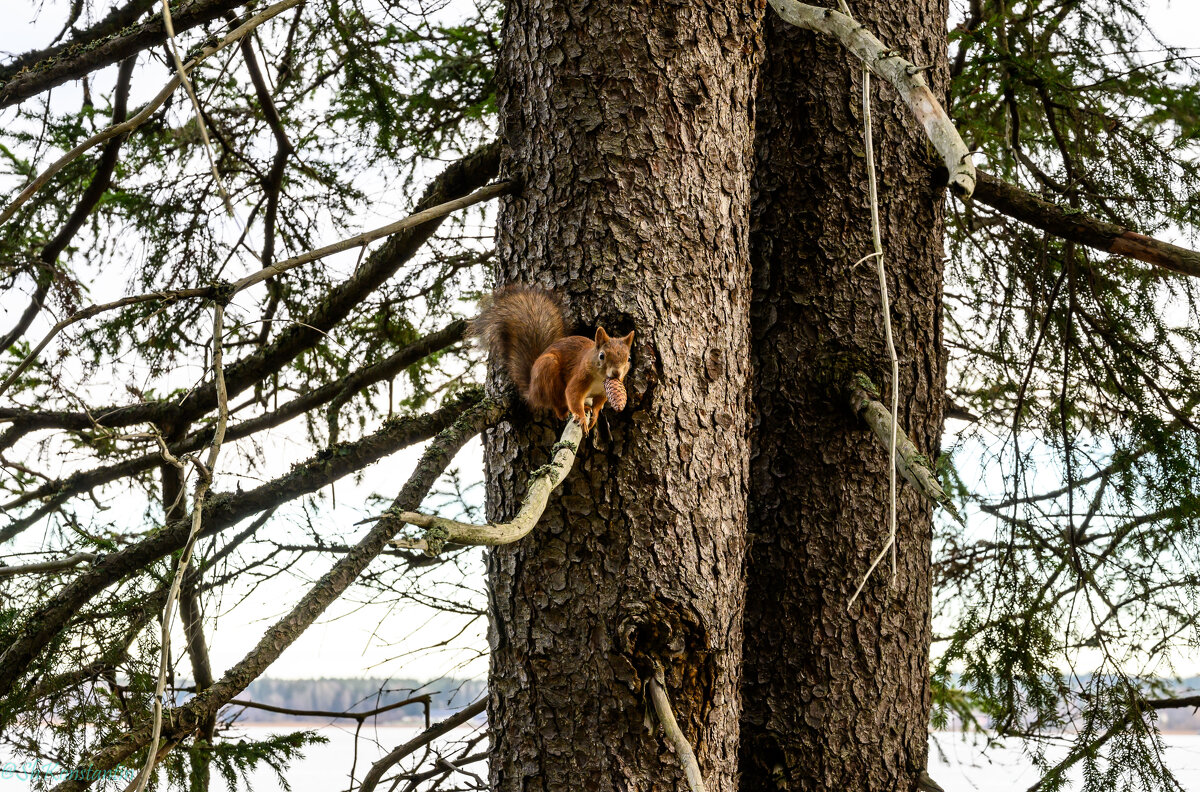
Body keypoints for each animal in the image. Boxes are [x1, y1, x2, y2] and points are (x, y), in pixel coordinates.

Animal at [470, 285, 633, 432]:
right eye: (602, 356)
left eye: (629, 358)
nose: (616, 373)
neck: (600, 379)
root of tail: (532, 392)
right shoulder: (580, 377)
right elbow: (573, 395)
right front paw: (581, 417)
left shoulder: (602, 393)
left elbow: (599, 404)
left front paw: (595, 415)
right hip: (548, 370)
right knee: (558, 404)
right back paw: (569, 410)